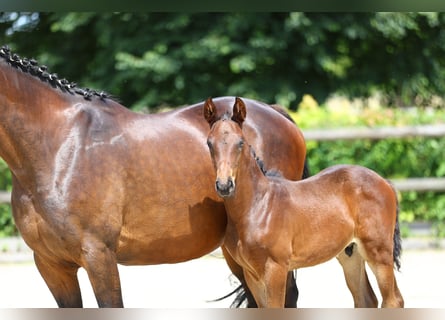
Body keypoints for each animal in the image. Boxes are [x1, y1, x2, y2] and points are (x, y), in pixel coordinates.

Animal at [203, 97, 404, 308]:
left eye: (240, 143)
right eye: (209, 143)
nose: (224, 185)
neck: (257, 206)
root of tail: (385, 182)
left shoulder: (276, 268)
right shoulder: (252, 274)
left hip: (379, 252)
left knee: (393, 300)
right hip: (351, 253)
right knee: (366, 299)